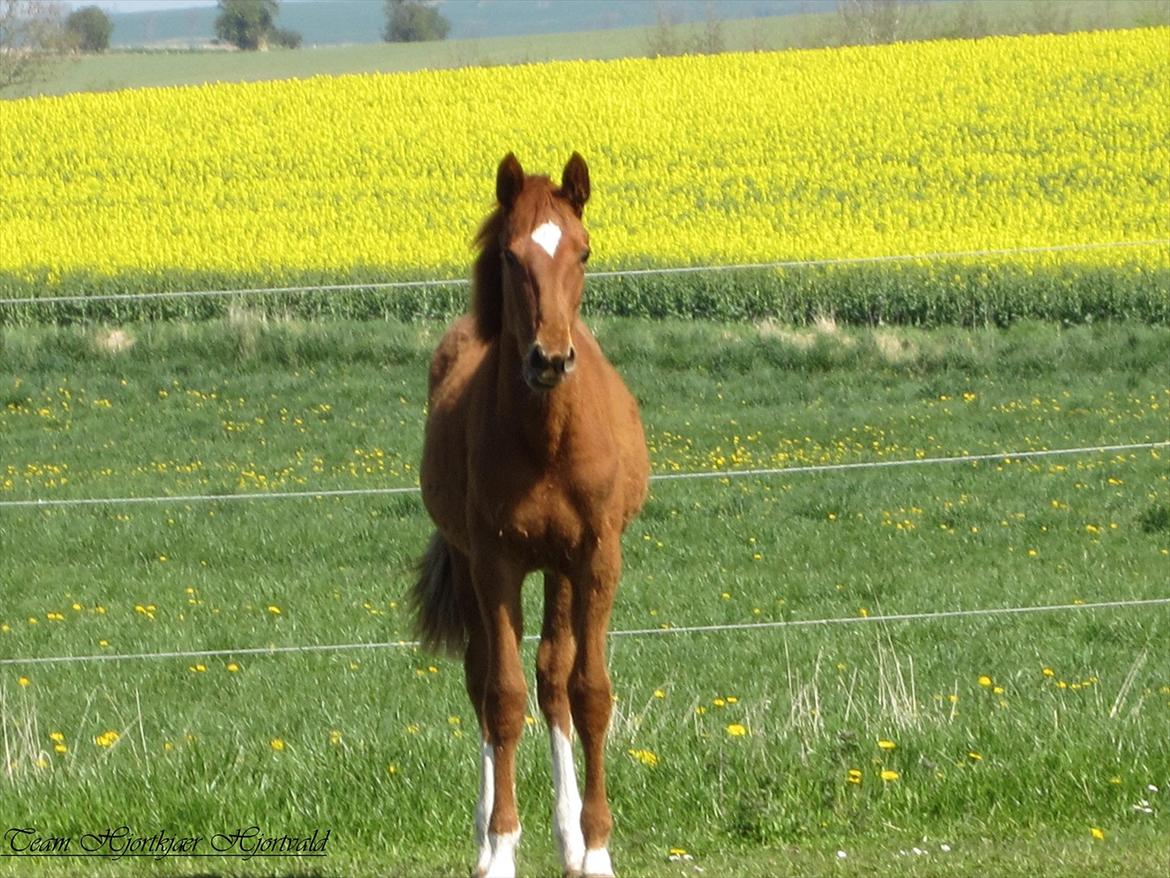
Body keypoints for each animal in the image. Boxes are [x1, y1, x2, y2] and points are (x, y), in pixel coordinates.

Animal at [411, 153, 650, 878]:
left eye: (584, 251)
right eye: (512, 255)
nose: (550, 358)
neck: (548, 441)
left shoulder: (597, 557)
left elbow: (589, 692)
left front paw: (595, 848)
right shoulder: (495, 562)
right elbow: (503, 698)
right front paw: (502, 846)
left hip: (562, 571)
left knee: (554, 681)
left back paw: (569, 835)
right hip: (474, 564)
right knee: (486, 682)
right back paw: (486, 835)